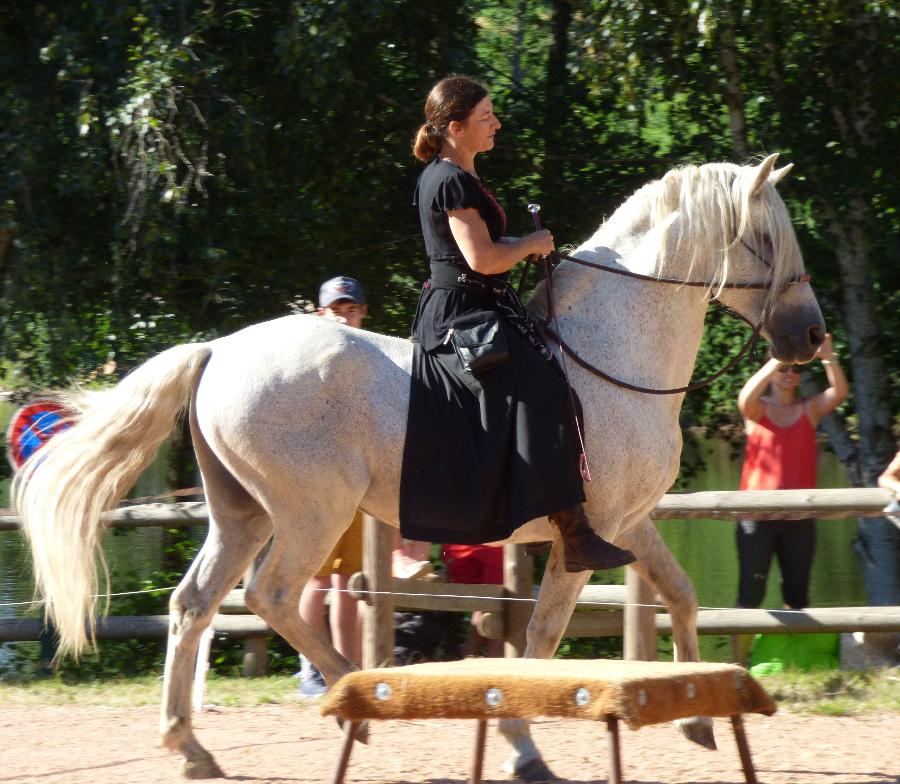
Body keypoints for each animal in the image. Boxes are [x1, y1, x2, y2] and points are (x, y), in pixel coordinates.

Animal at [14, 153, 824, 781]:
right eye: (766, 240)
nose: (811, 338)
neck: (607, 355)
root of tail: (216, 350)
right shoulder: (584, 537)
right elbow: (540, 642)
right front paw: (522, 747)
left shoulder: (627, 523)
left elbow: (681, 596)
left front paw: (698, 723)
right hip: (311, 514)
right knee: (271, 596)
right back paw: (358, 697)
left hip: (240, 515)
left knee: (193, 606)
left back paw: (193, 747)